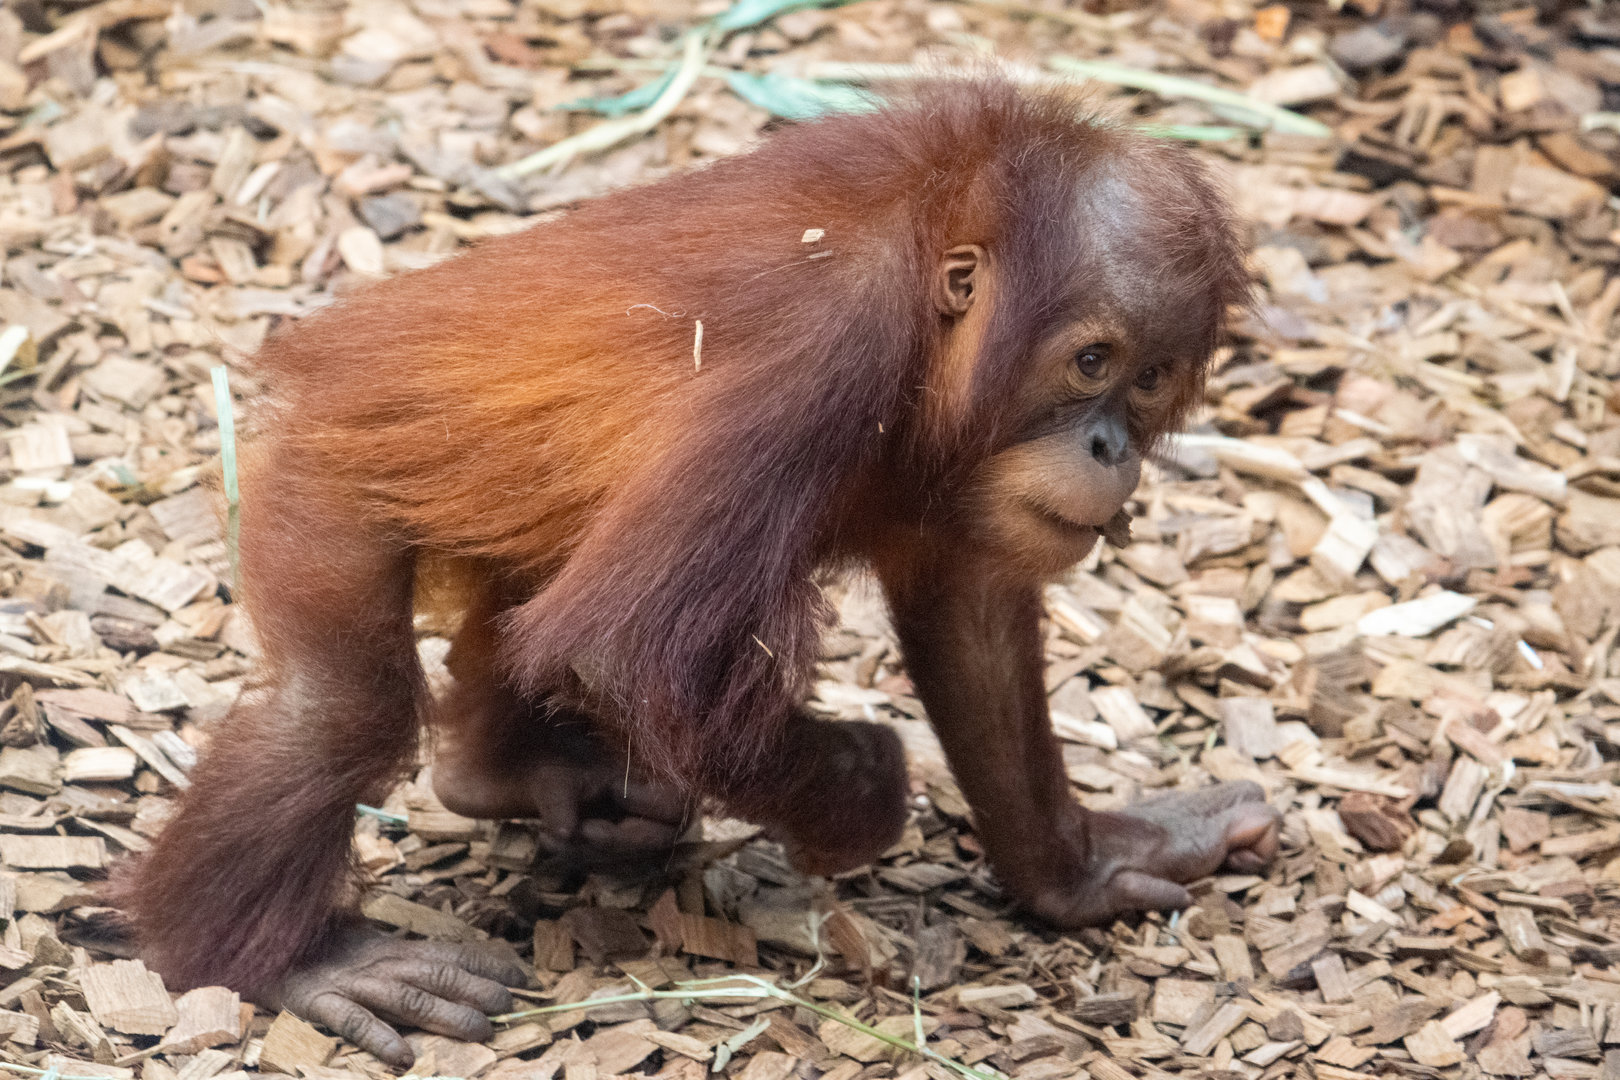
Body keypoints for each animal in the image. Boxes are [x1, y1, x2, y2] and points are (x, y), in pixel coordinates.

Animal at [116, 79, 1276, 1067]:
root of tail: (308, 361)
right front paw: (862, 792)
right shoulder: (825, 350)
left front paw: (1080, 870)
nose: (1110, 449)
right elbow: (617, 648)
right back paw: (292, 964)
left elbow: (971, 613)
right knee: (339, 706)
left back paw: (505, 774)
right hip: (326, 474)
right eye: (1091, 361)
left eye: (1151, 380)